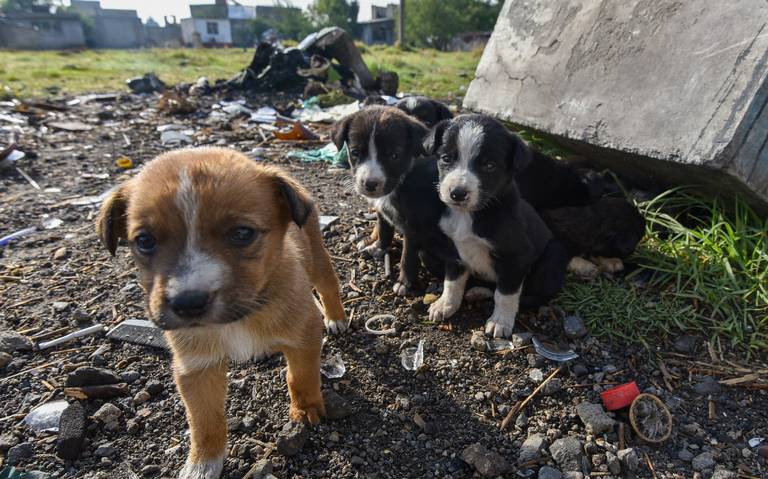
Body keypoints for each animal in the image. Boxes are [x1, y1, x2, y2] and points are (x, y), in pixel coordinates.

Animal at [97, 147, 346, 479]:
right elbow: (204, 421)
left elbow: (301, 378)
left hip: (317, 258)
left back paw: (337, 317)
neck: (240, 317)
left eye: (242, 233)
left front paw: (305, 411)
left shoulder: (304, 336)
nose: (188, 303)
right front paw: (202, 464)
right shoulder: (196, 368)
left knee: (329, 286)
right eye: (144, 240)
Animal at [332, 107, 456, 296]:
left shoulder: (414, 227)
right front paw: (378, 248)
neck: (403, 178)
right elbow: (384, 230)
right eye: (355, 152)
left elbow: (408, 256)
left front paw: (405, 283)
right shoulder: (382, 210)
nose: (370, 184)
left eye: (394, 156)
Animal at [424, 113, 568, 338]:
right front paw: (445, 304)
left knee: (535, 296)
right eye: (446, 158)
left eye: (489, 166)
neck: (469, 215)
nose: (457, 193)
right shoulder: (453, 250)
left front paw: (500, 322)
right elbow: (452, 281)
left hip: (554, 254)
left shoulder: (516, 257)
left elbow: (506, 294)